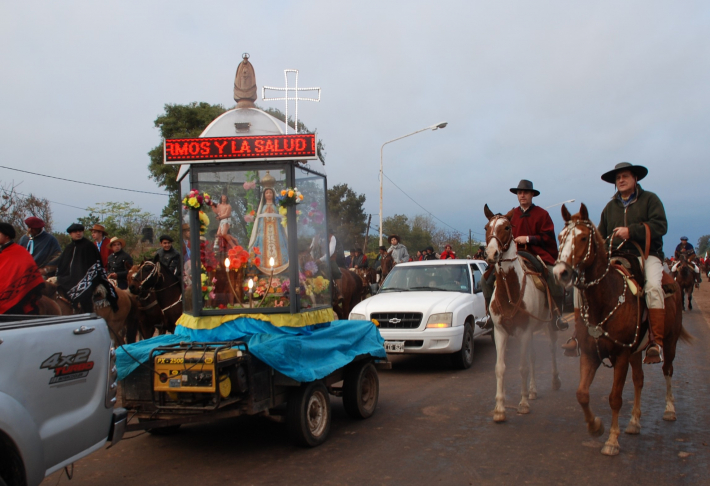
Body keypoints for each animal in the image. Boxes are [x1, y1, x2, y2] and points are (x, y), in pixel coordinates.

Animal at [484, 203, 560, 424]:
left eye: (507, 227)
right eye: (486, 227)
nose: (491, 254)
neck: (510, 290)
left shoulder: (524, 331)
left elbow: (522, 366)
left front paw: (523, 404)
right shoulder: (500, 331)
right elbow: (500, 368)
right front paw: (500, 409)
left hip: (548, 325)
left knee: (551, 349)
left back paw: (555, 381)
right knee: (534, 356)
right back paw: (533, 390)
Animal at [552, 204, 692, 456]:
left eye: (583, 237)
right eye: (560, 237)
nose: (560, 273)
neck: (605, 299)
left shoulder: (622, 356)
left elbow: (615, 398)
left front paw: (611, 441)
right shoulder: (591, 354)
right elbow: (582, 394)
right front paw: (596, 426)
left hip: (669, 342)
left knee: (667, 370)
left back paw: (669, 409)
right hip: (637, 352)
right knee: (639, 380)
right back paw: (635, 422)